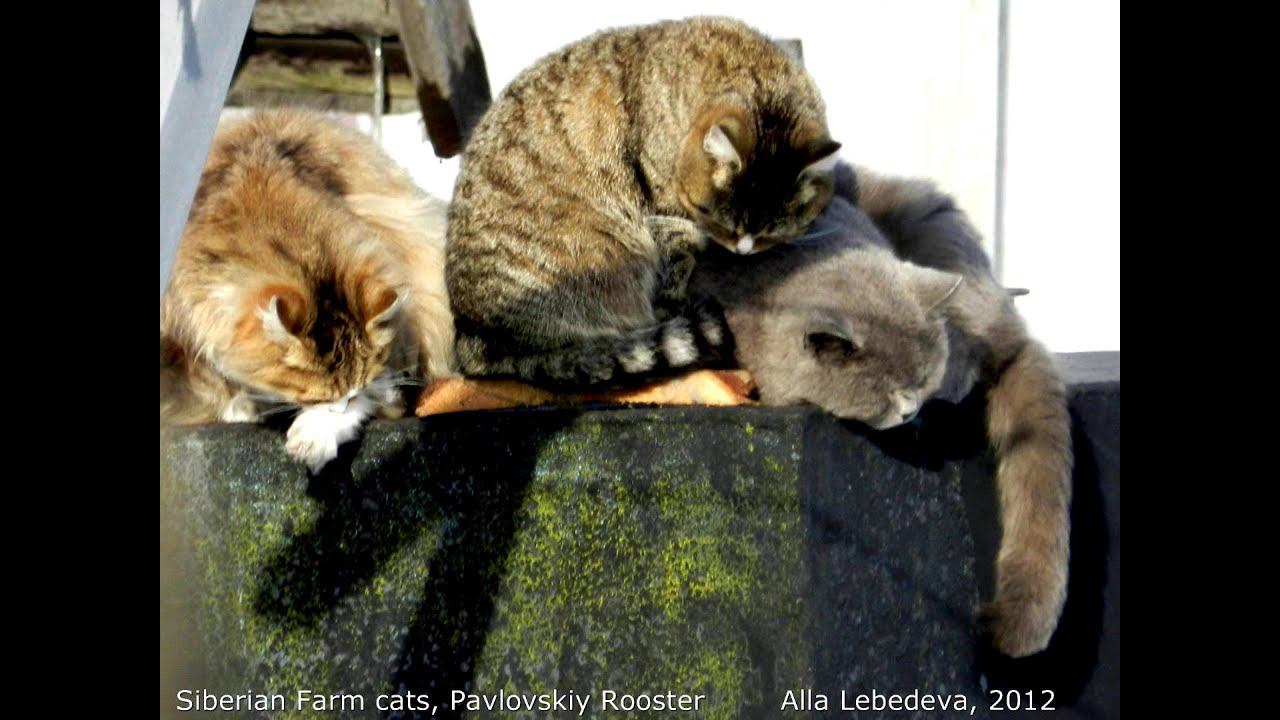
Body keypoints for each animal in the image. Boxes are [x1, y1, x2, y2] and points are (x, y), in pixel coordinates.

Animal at [448, 16, 839, 386]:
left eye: (771, 234)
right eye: (720, 222)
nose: (741, 251)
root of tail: (473, 340)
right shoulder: (669, 219)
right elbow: (674, 271)